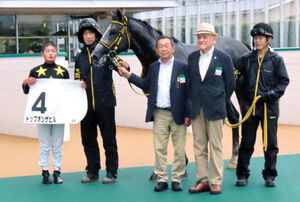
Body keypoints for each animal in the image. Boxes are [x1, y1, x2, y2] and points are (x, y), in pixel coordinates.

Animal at [91, 10, 248, 170]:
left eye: (114, 32)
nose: (95, 55)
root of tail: (242, 45)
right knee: (234, 116)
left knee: (238, 115)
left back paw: (235, 158)